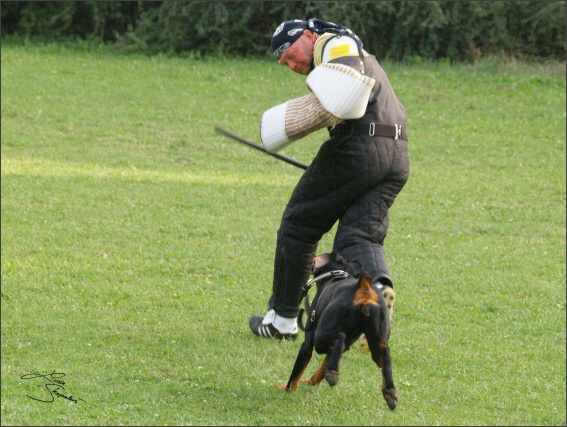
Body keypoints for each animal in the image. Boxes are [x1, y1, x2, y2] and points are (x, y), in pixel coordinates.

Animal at [280, 252, 398, 410]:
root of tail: (364, 289)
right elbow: (323, 366)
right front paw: (311, 381)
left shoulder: (308, 344)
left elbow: (296, 373)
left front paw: (288, 390)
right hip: (377, 343)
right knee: (384, 356)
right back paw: (390, 393)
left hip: (321, 336)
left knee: (340, 338)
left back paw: (333, 374)